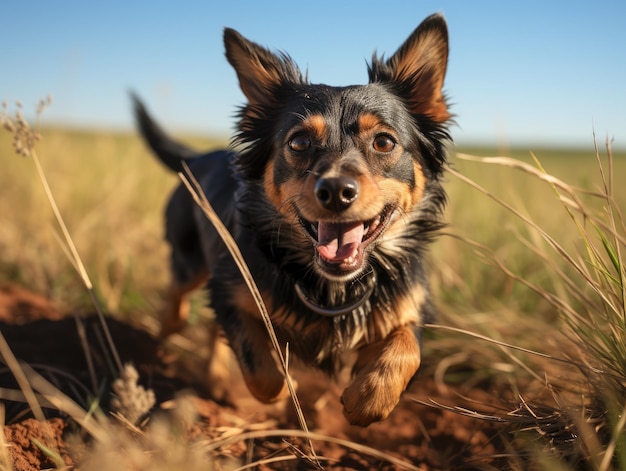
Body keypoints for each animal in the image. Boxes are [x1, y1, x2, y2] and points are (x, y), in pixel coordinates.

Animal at [134, 13, 450, 428]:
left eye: (384, 142)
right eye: (299, 142)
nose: (336, 190)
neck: (334, 289)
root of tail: (198, 156)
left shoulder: (410, 305)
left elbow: (406, 347)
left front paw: (368, 397)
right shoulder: (230, 289)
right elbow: (262, 369)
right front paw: (289, 393)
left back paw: (216, 380)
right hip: (191, 261)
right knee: (179, 298)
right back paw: (170, 335)